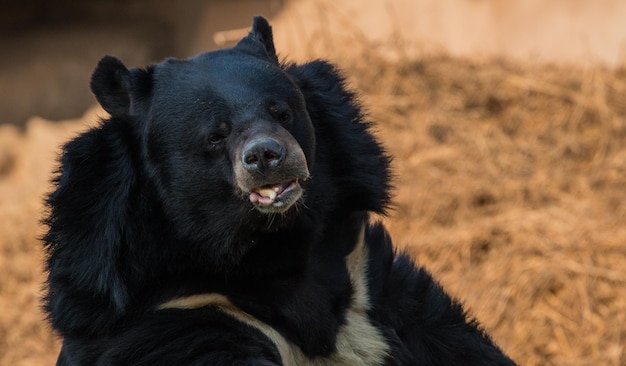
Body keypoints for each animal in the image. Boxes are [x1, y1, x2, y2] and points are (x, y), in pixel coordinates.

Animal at [42, 15, 512, 364]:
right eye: (216, 135)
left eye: (282, 112)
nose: (267, 155)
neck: (268, 247)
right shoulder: (167, 310)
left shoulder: (362, 275)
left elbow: (447, 339)